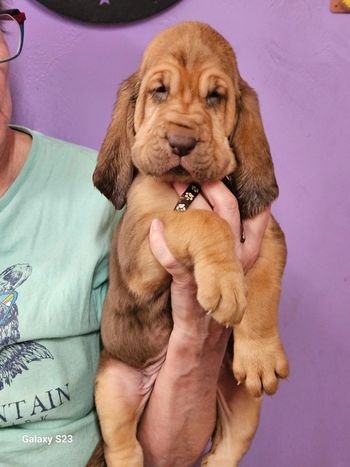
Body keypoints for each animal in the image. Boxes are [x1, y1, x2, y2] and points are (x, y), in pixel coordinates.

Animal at [88, 22, 290, 467]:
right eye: (159, 91)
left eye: (215, 97)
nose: (181, 142)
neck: (189, 185)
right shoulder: (142, 244)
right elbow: (201, 219)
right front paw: (226, 284)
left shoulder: (267, 232)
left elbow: (264, 283)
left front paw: (261, 352)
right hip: (112, 383)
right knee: (123, 444)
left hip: (241, 400)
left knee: (228, 445)